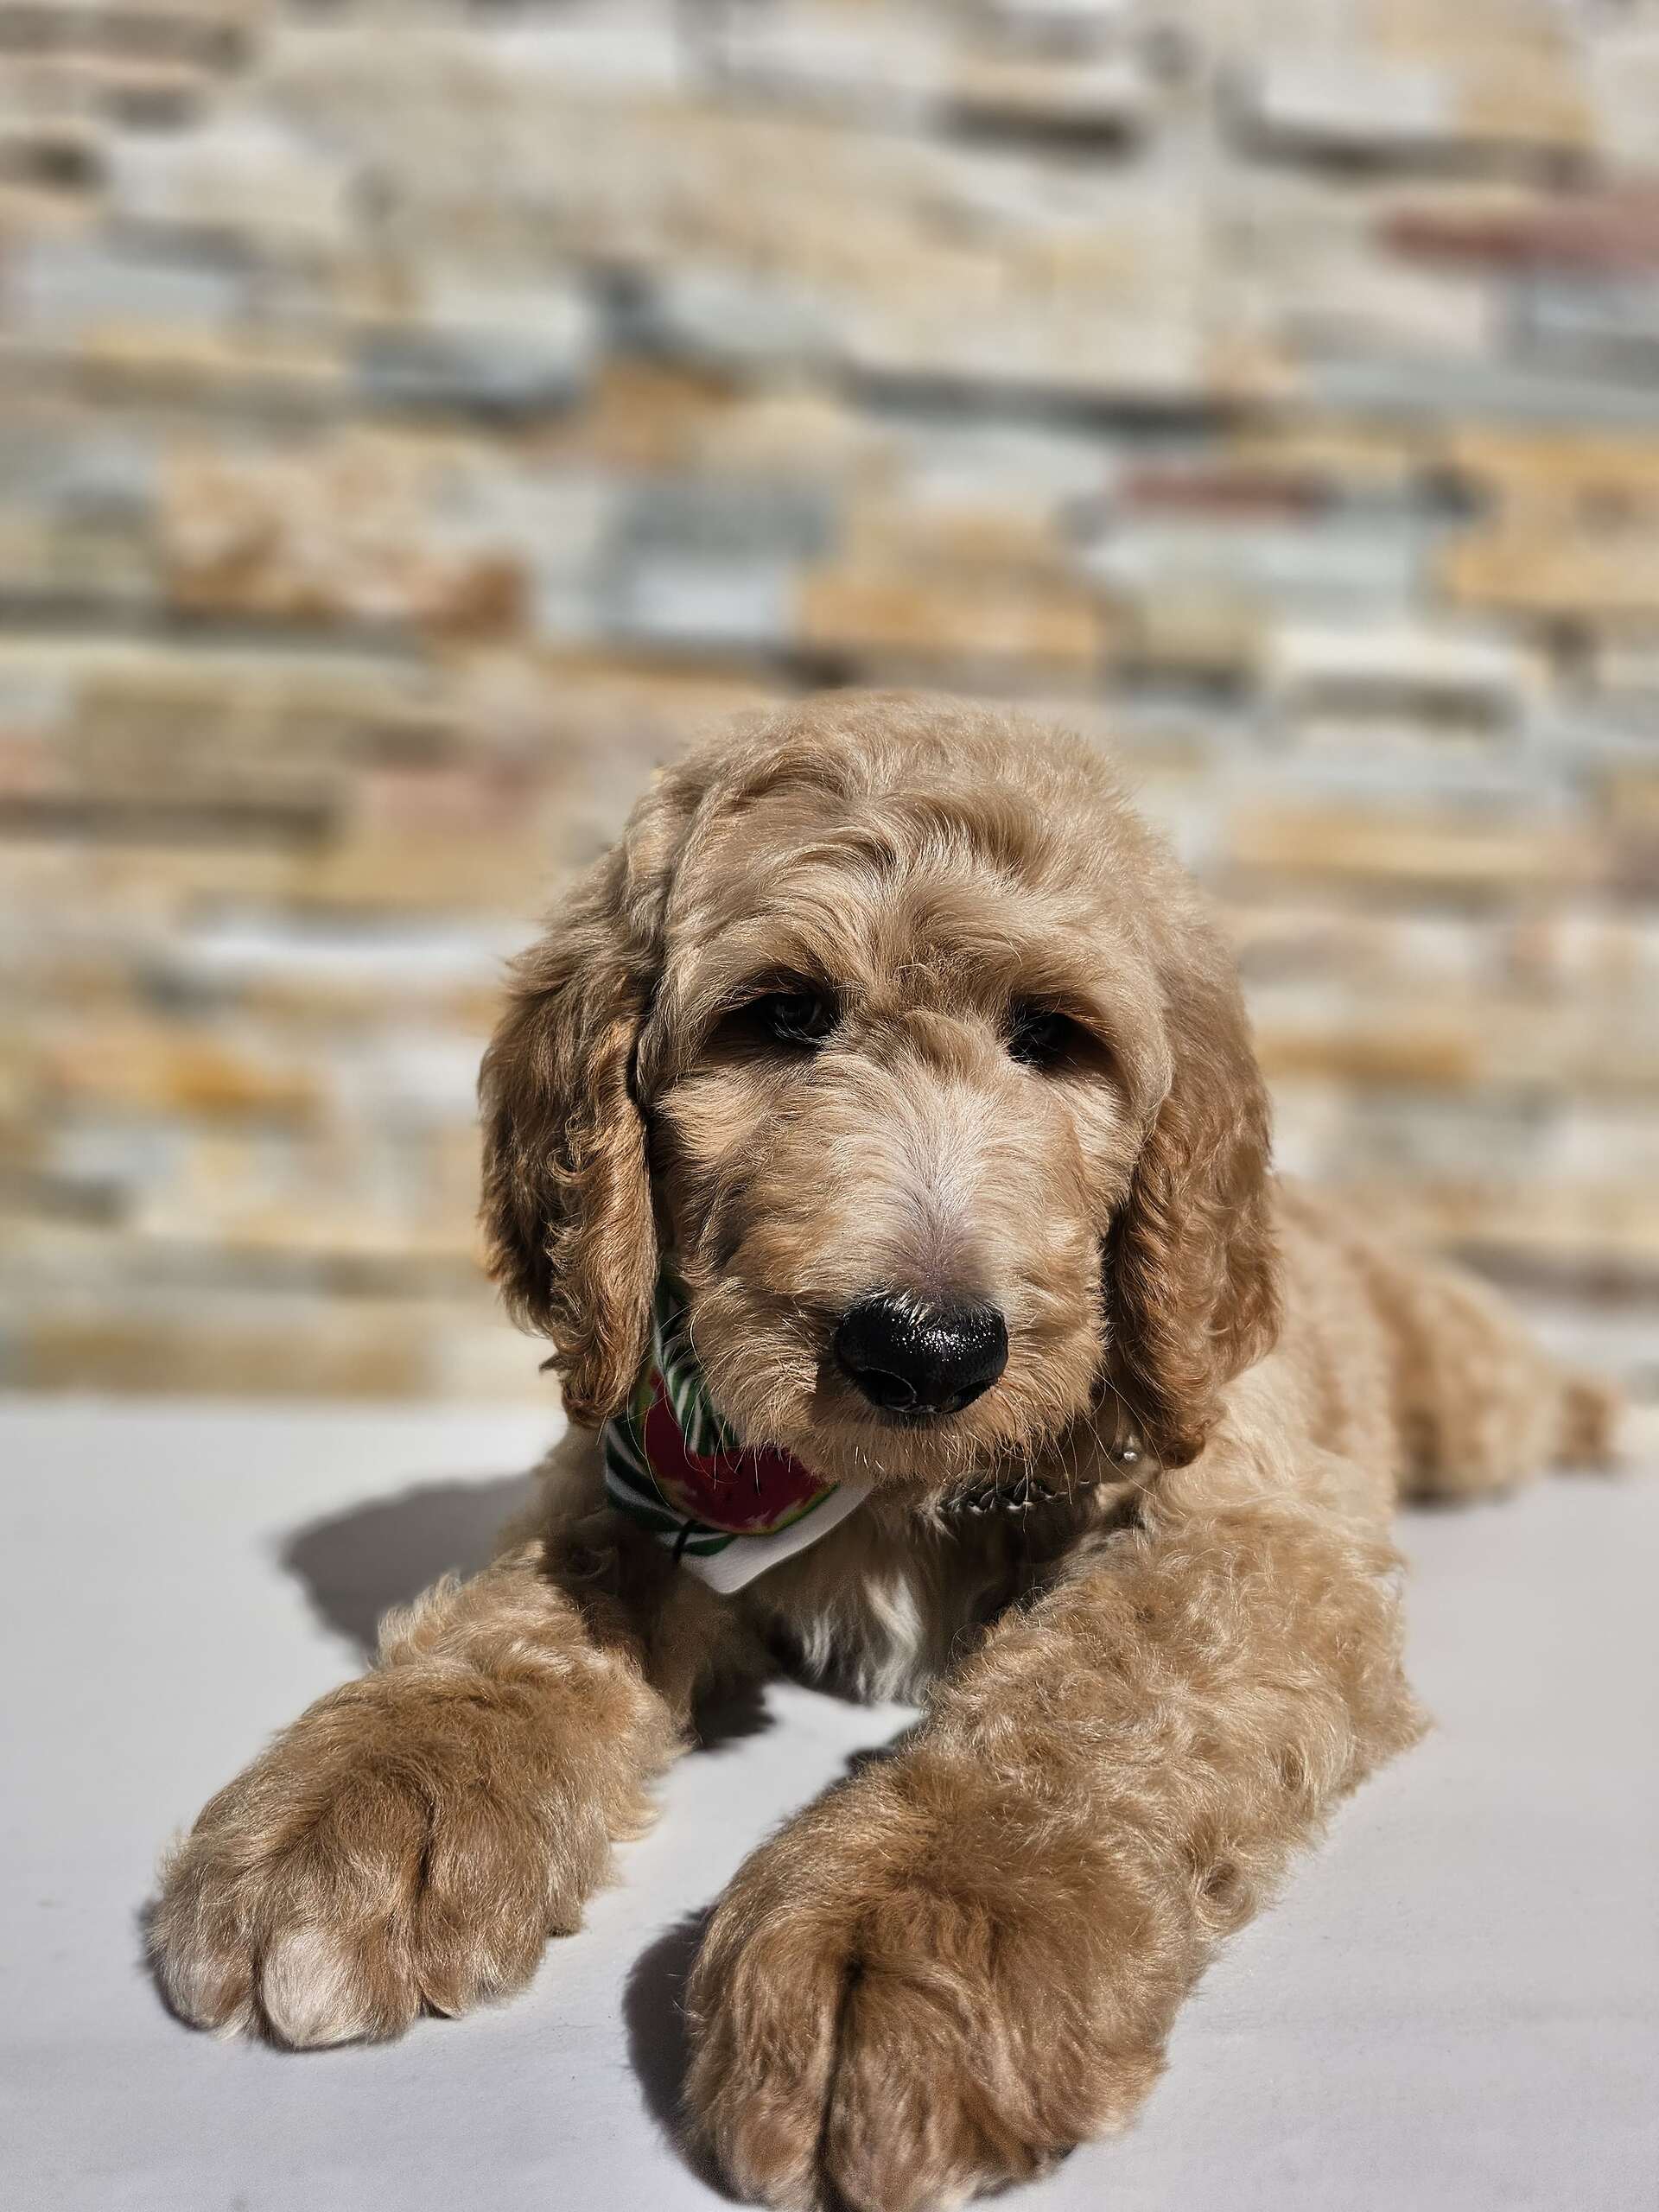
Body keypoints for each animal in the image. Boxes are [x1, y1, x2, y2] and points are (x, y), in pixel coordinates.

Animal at [151, 692, 1617, 2212]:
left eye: (1054, 1038)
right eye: (782, 1016)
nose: (926, 1349)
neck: (881, 1488)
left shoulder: (1252, 1520)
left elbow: (1107, 1681)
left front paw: (921, 1923)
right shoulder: (630, 1470)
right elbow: (538, 1608)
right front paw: (376, 1793)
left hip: (1459, 1380)